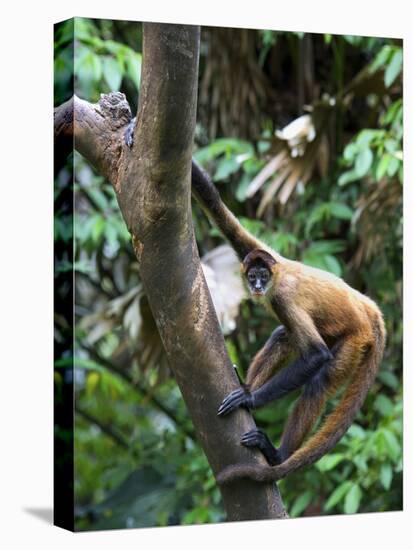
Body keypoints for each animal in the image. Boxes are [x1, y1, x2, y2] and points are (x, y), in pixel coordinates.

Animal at [124, 123, 384, 486]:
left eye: (262, 276)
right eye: (252, 276)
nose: (258, 285)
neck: (278, 274)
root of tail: (368, 309)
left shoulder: (283, 292)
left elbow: (317, 356)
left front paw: (250, 398)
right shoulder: (256, 252)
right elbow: (217, 207)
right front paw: (131, 129)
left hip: (356, 340)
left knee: (318, 378)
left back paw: (277, 453)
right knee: (283, 336)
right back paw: (246, 385)